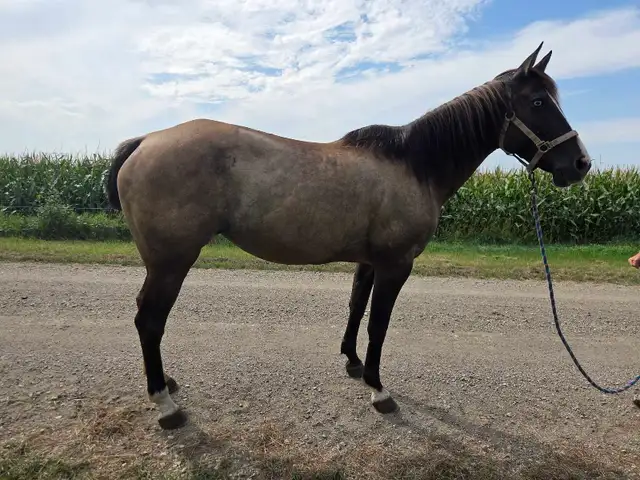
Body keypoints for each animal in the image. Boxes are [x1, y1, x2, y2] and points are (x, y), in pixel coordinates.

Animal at [105, 42, 591, 430]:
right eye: (538, 102)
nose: (580, 164)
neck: (414, 165)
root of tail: (145, 141)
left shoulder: (370, 261)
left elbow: (357, 307)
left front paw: (354, 363)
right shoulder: (396, 264)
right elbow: (379, 322)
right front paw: (379, 390)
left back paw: (166, 383)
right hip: (172, 262)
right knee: (149, 319)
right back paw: (165, 403)